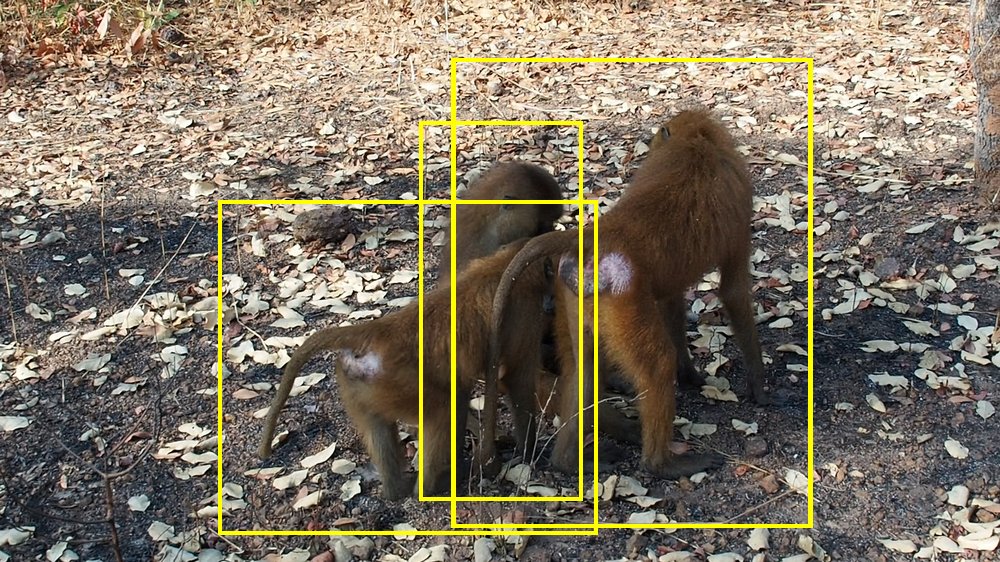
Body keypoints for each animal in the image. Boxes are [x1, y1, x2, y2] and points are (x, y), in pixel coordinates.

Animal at [258, 239, 552, 500]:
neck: (502, 263)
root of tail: (380, 332)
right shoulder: (526, 310)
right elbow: (516, 380)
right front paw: (529, 450)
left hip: (362, 382)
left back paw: (396, 490)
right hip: (401, 382)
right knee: (445, 407)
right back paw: (434, 486)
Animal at [485, 109, 768, 479]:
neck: (697, 143)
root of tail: (602, 233)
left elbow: (672, 299)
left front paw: (689, 376)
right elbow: (733, 292)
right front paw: (759, 387)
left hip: (574, 293)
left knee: (583, 371)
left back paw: (565, 461)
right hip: (622, 295)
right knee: (657, 364)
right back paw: (661, 464)